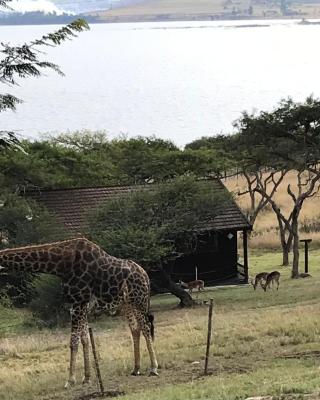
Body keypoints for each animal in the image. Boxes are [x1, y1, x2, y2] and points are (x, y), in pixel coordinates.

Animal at [0, 238, 158, 388]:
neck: (60, 265)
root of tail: (146, 276)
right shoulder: (77, 305)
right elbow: (85, 339)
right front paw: (86, 378)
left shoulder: (79, 302)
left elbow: (74, 341)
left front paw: (70, 380)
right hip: (127, 304)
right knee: (135, 329)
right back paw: (136, 369)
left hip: (139, 300)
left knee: (146, 328)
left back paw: (153, 368)